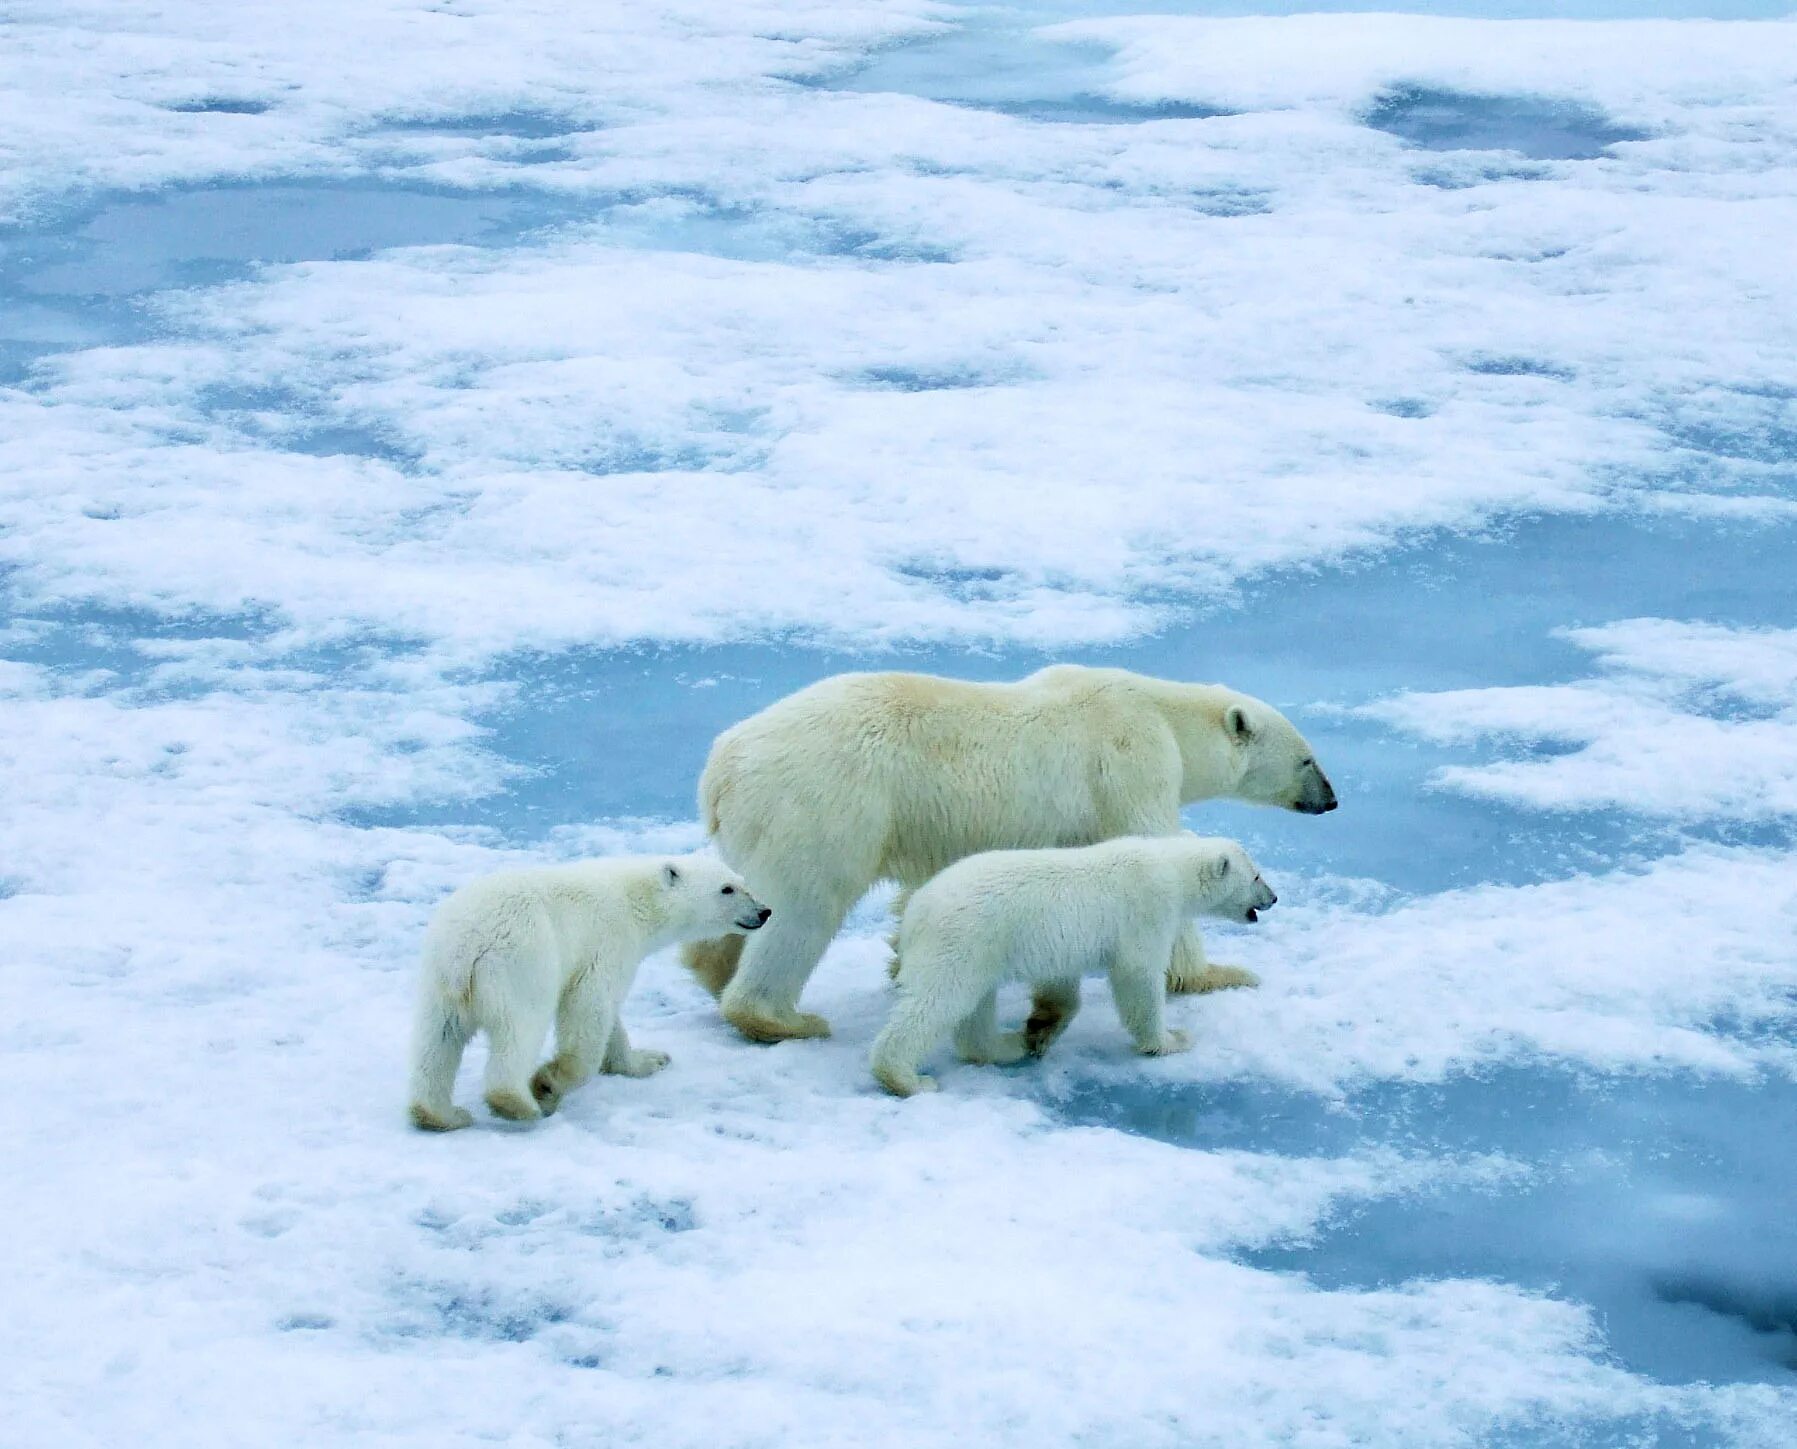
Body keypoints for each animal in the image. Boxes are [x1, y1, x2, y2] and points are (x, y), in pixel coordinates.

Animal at [686, 668, 1336, 1042]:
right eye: (1307, 758)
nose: (1330, 799)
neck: (1163, 713)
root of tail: (721, 768)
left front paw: (901, 957)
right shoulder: (1130, 759)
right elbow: (1154, 851)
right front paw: (1216, 975)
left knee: (752, 897)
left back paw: (711, 969)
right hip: (824, 802)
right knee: (805, 906)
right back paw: (778, 1017)